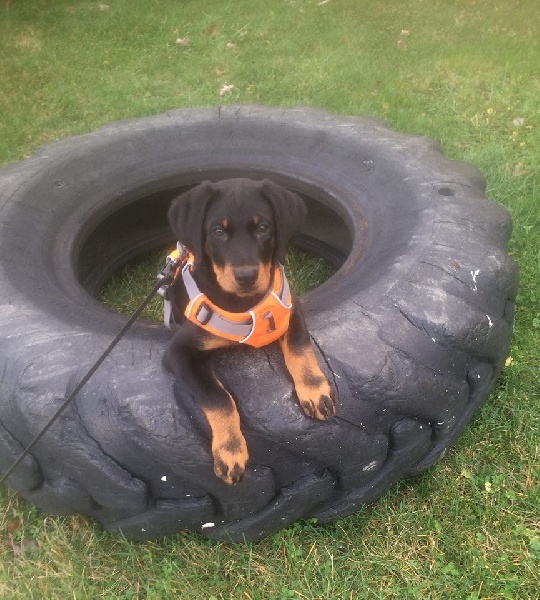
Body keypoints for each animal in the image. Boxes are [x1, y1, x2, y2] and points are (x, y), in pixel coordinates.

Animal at [162, 177, 336, 482]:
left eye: (263, 228)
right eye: (218, 231)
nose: (246, 276)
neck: (244, 302)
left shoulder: (291, 308)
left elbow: (299, 348)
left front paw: (315, 389)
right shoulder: (178, 351)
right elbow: (218, 397)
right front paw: (230, 449)